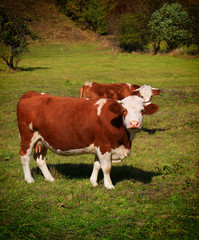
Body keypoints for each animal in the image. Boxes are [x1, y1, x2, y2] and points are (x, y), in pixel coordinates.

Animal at [17, 91, 159, 188]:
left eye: (142, 111)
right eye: (124, 110)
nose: (134, 123)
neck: (124, 141)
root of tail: (32, 94)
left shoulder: (99, 146)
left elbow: (97, 165)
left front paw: (93, 182)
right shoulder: (104, 145)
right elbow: (106, 167)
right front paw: (109, 185)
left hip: (42, 140)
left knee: (40, 159)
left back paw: (50, 178)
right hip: (27, 137)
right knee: (24, 156)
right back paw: (29, 179)